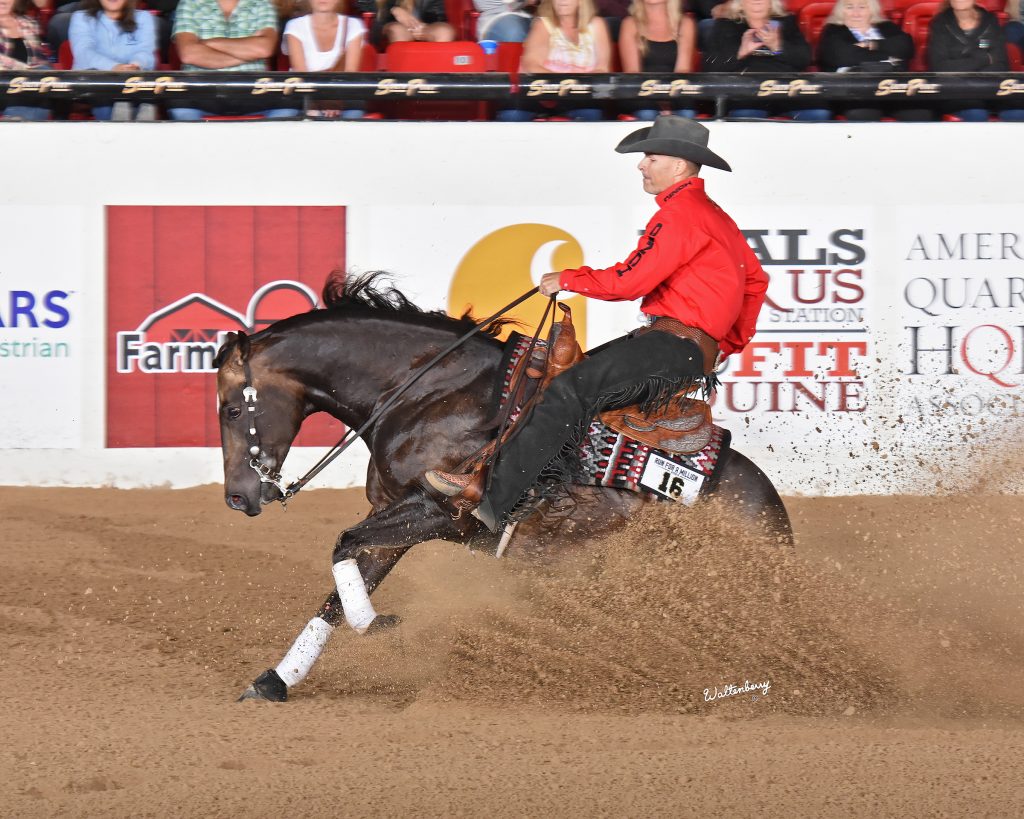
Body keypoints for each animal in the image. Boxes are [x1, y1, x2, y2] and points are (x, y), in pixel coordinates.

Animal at [216, 274, 790, 696]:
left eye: (230, 409)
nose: (238, 498)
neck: (427, 392)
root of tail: (774, 519)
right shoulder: (395, 517)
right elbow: (342, 585)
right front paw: (275, 681)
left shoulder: (436, 512)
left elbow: (343, 546)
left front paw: (377, 625)